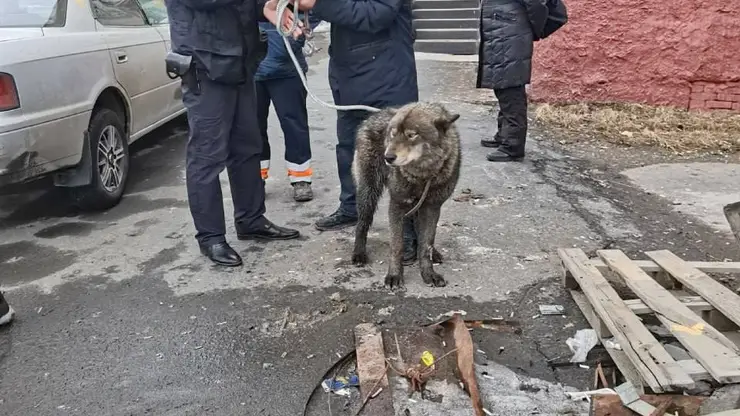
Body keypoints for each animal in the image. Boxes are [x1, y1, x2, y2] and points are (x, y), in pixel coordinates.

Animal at [350, 102, 460, 288]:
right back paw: (359, 253)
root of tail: (374, 115)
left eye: (411, 135)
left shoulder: (432, 207)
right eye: (392, 134)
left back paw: (434, 253)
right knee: (362, 224)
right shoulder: (397, 205)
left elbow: (426, 243)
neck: (422, 174)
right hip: (369, 194)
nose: (387, 157)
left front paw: (428, 273)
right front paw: (394, 275)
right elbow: (397, 245)